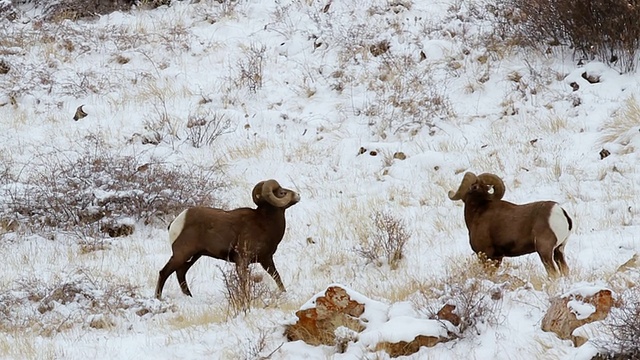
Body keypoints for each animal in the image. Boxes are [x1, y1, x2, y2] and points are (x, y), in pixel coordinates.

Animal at [158, 179, 302, 300]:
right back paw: (158, 297)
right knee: (164, 272)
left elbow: (277, 277)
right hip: (182, 254)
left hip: (194, 256)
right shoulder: (242, 261)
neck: (265, 224)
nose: (298, 195)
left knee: (181, 272)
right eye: (282, 193)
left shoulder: (266, 260)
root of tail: (176, 222)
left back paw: (189, 296)